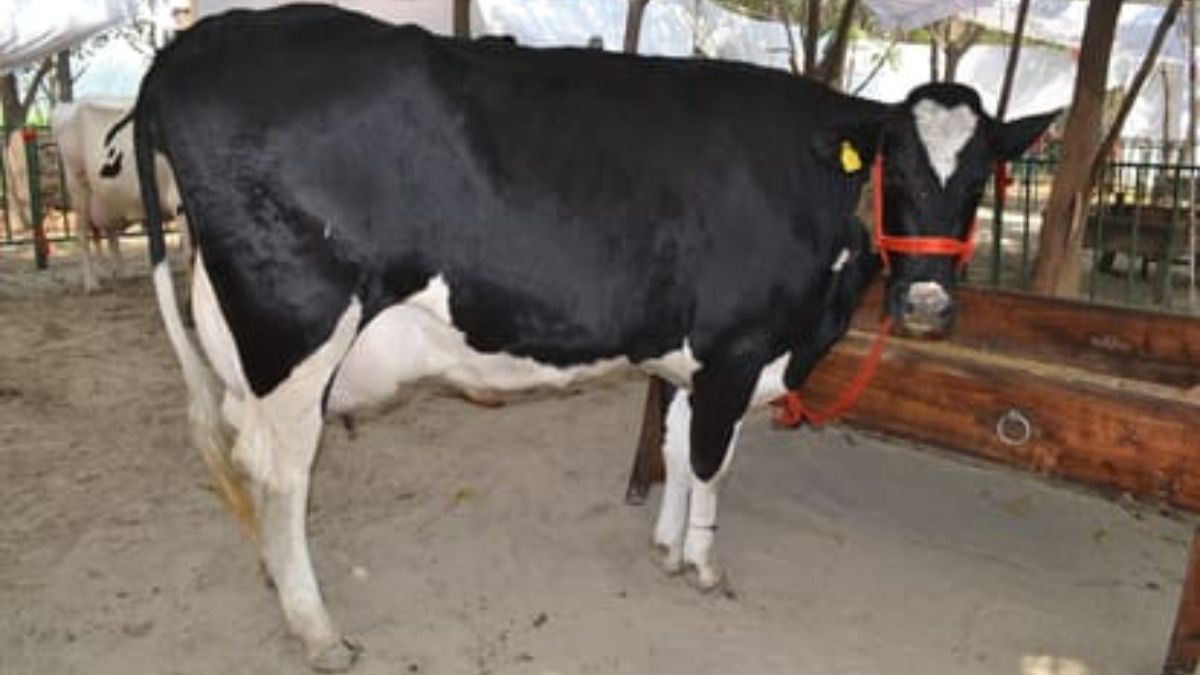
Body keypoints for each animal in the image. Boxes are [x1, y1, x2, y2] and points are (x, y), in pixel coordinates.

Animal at [52, 98, 183, 293]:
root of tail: (66, 105)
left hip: (106, 200)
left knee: (105, 232)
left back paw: (117, 273)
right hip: (79, 186)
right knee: (83, 234)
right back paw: (92, 283)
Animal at [127, 5, 1055, 671]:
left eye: (982, 177)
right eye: (900, 167)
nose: (928, 305)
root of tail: (197, 42)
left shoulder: (689, 358)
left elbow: (676, 447)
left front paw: (666, 548)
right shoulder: (737, 348)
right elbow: (712, 460)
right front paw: (704, 565)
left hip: (247, 338)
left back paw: (277, 577)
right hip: (298, 323)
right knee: (281, 471)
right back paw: (318, 629)